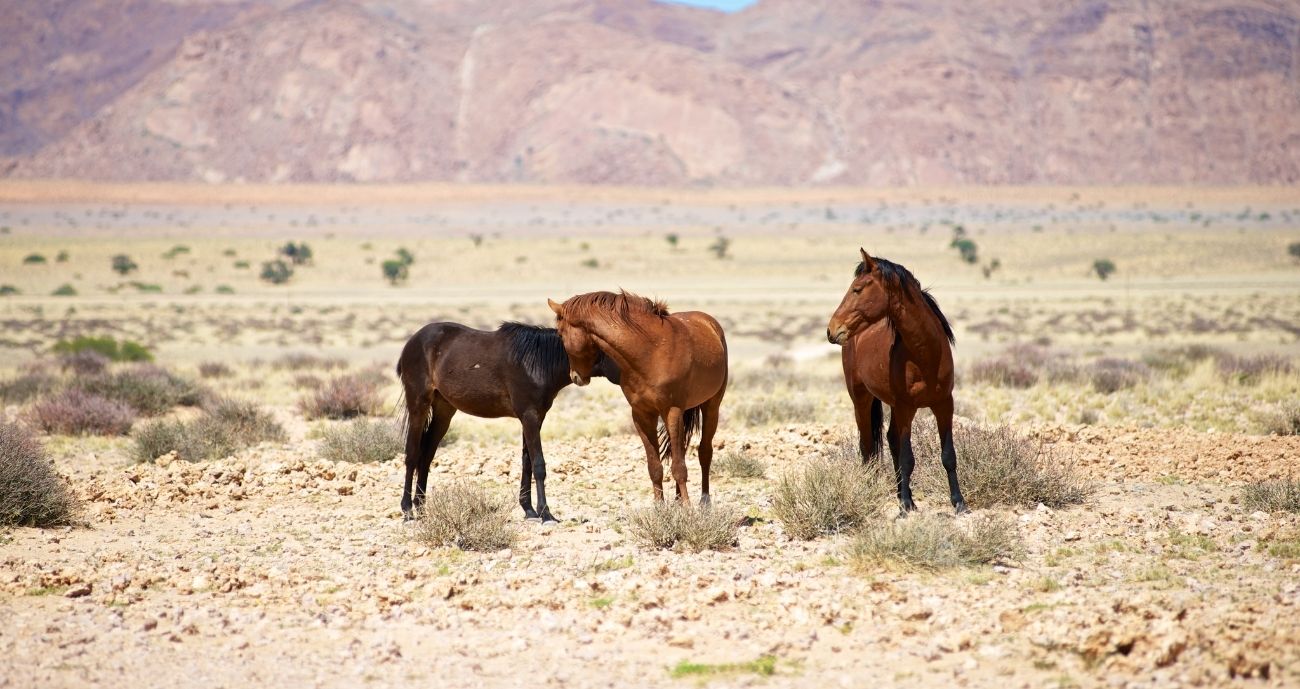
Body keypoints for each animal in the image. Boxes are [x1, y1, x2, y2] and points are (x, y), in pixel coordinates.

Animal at [394, 321, 619, 523]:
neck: (537, 363)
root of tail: (413, 340)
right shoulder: (529, 416)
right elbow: (538, 464)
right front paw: (546, 514)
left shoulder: (535, 418)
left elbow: (527, 462)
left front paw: (529, 511)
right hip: (418, 406)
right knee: (412, 455)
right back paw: (408, 512)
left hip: (444, 411)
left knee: (426, 456)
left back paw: (421, 510)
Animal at [547, 291, 728, 504]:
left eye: (560, 334)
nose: (575, 377)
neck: (651, 352)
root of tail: (709, 323)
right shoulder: (642, 414)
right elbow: (655, 466)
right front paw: (660, 507)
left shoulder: (672, 411)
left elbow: (679, 467)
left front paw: (687, 508)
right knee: (681, 450)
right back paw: (677, 499)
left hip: (711, 406)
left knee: (704, 452)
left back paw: (704, 501)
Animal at [826, 248, 968, 515]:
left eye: (857, 289)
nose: (831, 330)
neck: (925, 354)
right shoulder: (906, 407)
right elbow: (907, 457)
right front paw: (904, 506)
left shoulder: (944, 404)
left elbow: (948, 455)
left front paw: (959, 503)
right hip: (862, 399)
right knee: (868, 446)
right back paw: (879, 492)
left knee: (890, 441)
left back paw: (904, 494)